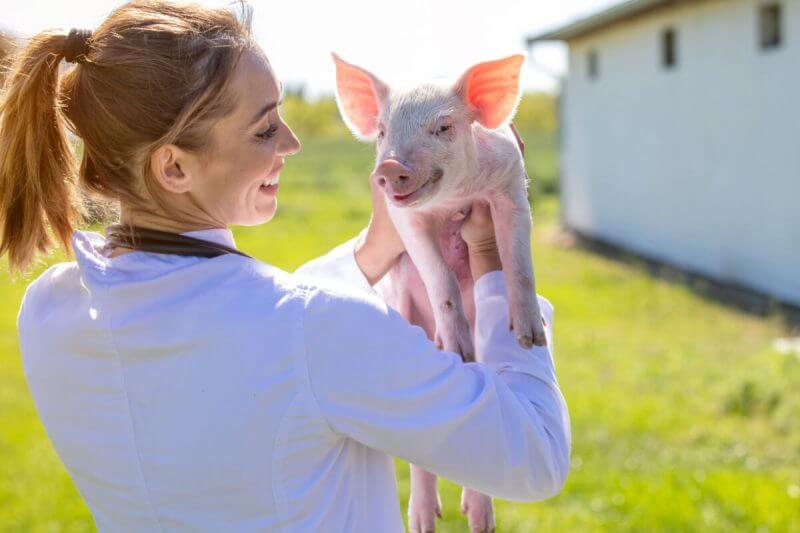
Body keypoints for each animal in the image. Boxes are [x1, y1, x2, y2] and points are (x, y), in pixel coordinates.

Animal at [332, 53, 547, 532]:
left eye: (444, 127)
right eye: (382, 132)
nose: (389, 167)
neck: (454, 200)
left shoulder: (513, 189)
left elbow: (519, 263)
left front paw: (530, 337)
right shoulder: (405, 222)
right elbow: (439, 277)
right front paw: (456, 348)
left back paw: (478, 520)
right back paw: (426, 521)